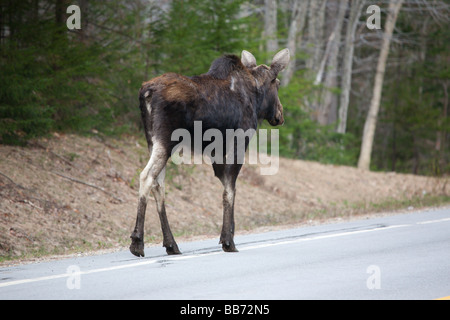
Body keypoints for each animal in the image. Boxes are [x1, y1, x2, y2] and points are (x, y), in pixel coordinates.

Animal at [130, 48, 292, 258]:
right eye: (278, 84)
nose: (280, 115)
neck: (256, 99)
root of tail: (146, 92)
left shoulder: (217, 151)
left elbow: (226, 186)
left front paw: (229, 232)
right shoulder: (239, 142)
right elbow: (230, 189)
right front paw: (228, 241)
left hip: (151, 140)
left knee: (159, 184)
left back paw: (171, 244)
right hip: (166, 140)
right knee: (146, 176)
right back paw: (137, 242)